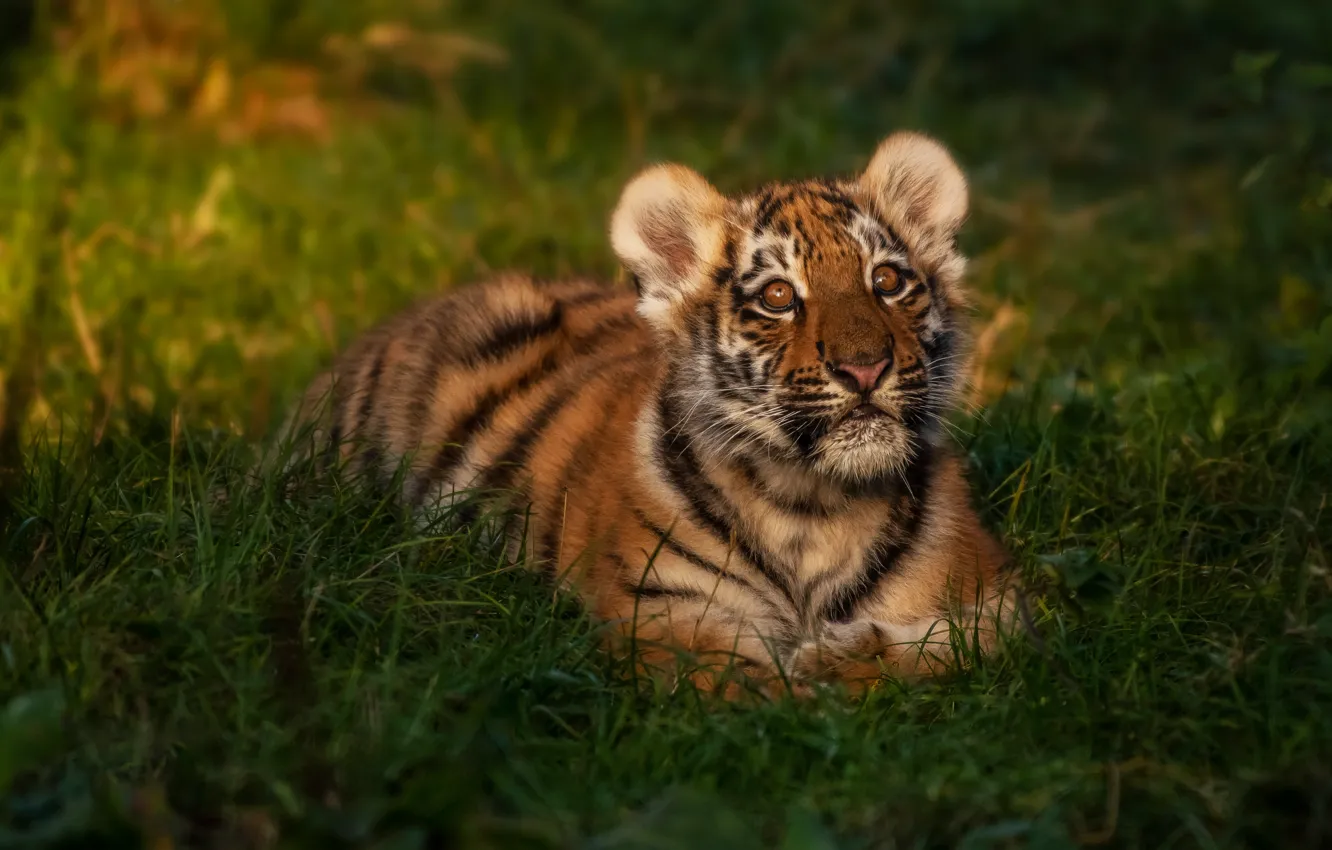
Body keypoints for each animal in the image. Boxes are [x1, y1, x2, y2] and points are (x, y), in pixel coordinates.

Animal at [279, 131, 1013, 698]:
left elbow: (952, 648)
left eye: (887, 282)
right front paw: (809, 688)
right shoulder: (659, 616)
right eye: (778, 297)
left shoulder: (1001, 594)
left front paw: (837, 661)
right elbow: (754, 687)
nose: (865, 368)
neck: (812, 506)